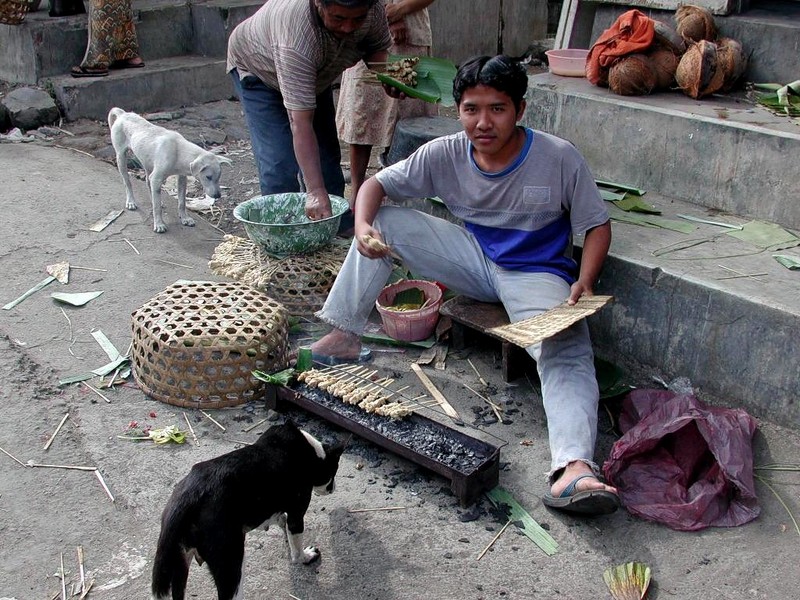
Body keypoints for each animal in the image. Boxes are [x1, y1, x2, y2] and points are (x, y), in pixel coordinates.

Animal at [152, 422, 346, 600]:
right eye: (334, 471)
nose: (333, 488)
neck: (310, 452)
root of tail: (187, 501)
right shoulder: (297, 514)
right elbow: (297, 549)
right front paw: (306, 556)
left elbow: (279, 519)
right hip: (231, 564)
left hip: (178, 567)